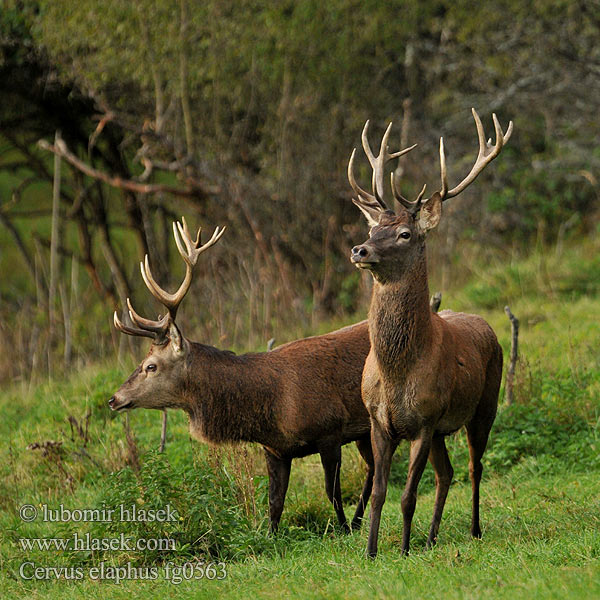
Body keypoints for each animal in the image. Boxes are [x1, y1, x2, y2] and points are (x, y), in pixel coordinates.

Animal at [105, 220, 372, 536]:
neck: (271, 410)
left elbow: (332, 492)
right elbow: (275, 504)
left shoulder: (330, 428)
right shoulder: (276, 450)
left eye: (151, 366)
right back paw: (359, 520)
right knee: (374, 468)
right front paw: (270, 538)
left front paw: (343, 530)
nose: (114, 399)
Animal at [346, 109, 510, 556]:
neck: (397, 372)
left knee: (474, 466)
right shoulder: (379, 420)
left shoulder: (424, 419)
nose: (359, 250)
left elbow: (406, 496)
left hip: (484, 405)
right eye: (373, 230)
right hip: (441, 431)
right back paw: (434, 536)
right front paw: (371, 551)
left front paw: (402, 550)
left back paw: (474, 529)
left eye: (404, 234)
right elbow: (380, 492)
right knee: (447, 473)